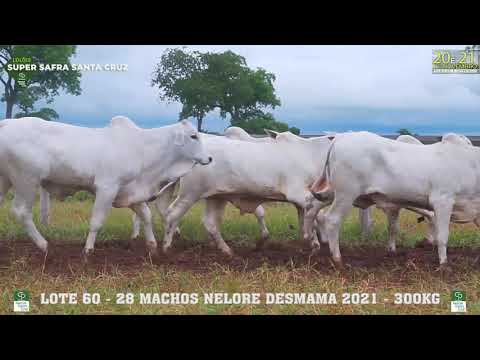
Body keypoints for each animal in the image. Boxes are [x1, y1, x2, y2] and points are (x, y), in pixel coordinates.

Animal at [0, 116, 211, 258]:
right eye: (193, 136)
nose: (209, 158)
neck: (142, 149)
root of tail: (7, 123)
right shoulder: (107, 188)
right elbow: (96, 222)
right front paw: (87, 251)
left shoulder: (129, 192)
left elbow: (146, 216)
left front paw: (152, 247)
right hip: (27, 181)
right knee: (21, 211)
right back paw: (43, 245)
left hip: (6, 181)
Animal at [310, 131, 478, 268]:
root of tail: (341, 138)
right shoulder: (443, 201)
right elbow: (442, 236)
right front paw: (443, 264)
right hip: (345, 194)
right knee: (332, 219)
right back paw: (337, 259)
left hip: (332, 193)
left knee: (314, 208)